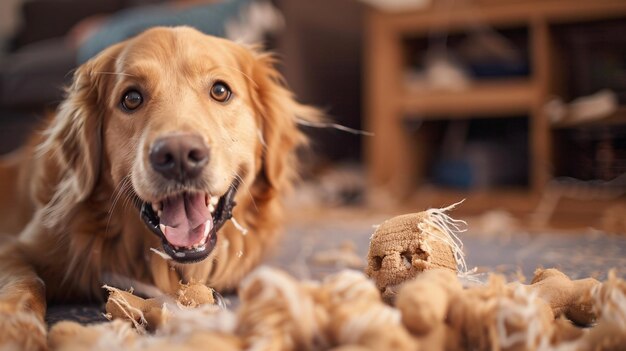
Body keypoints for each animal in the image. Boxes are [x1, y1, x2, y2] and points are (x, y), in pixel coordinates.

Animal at [0, 26, 316, 348]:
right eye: (131, 98)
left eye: (220, 91)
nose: (179, 156)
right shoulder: (16, 249)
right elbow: (27, 282)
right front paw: (17, 330)